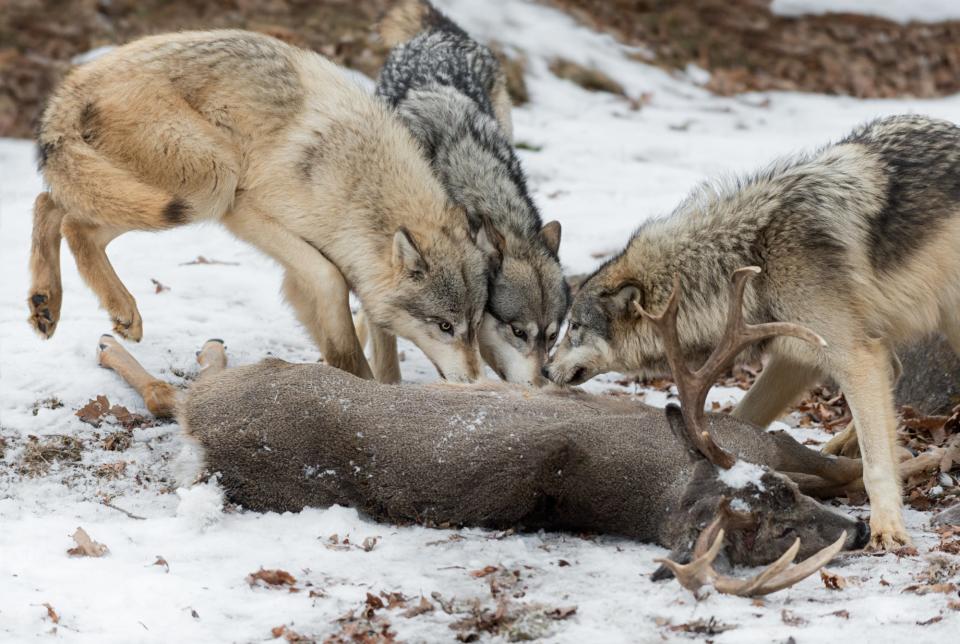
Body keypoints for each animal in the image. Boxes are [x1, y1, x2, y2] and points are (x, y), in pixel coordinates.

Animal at [544, 114, 960, 548]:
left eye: (575, 326)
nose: (544, 368)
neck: (747, 258)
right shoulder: (797, 358)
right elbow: (739, 418)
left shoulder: (853, 357)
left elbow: (876, 465)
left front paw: (888, 529)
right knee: (894, 374)